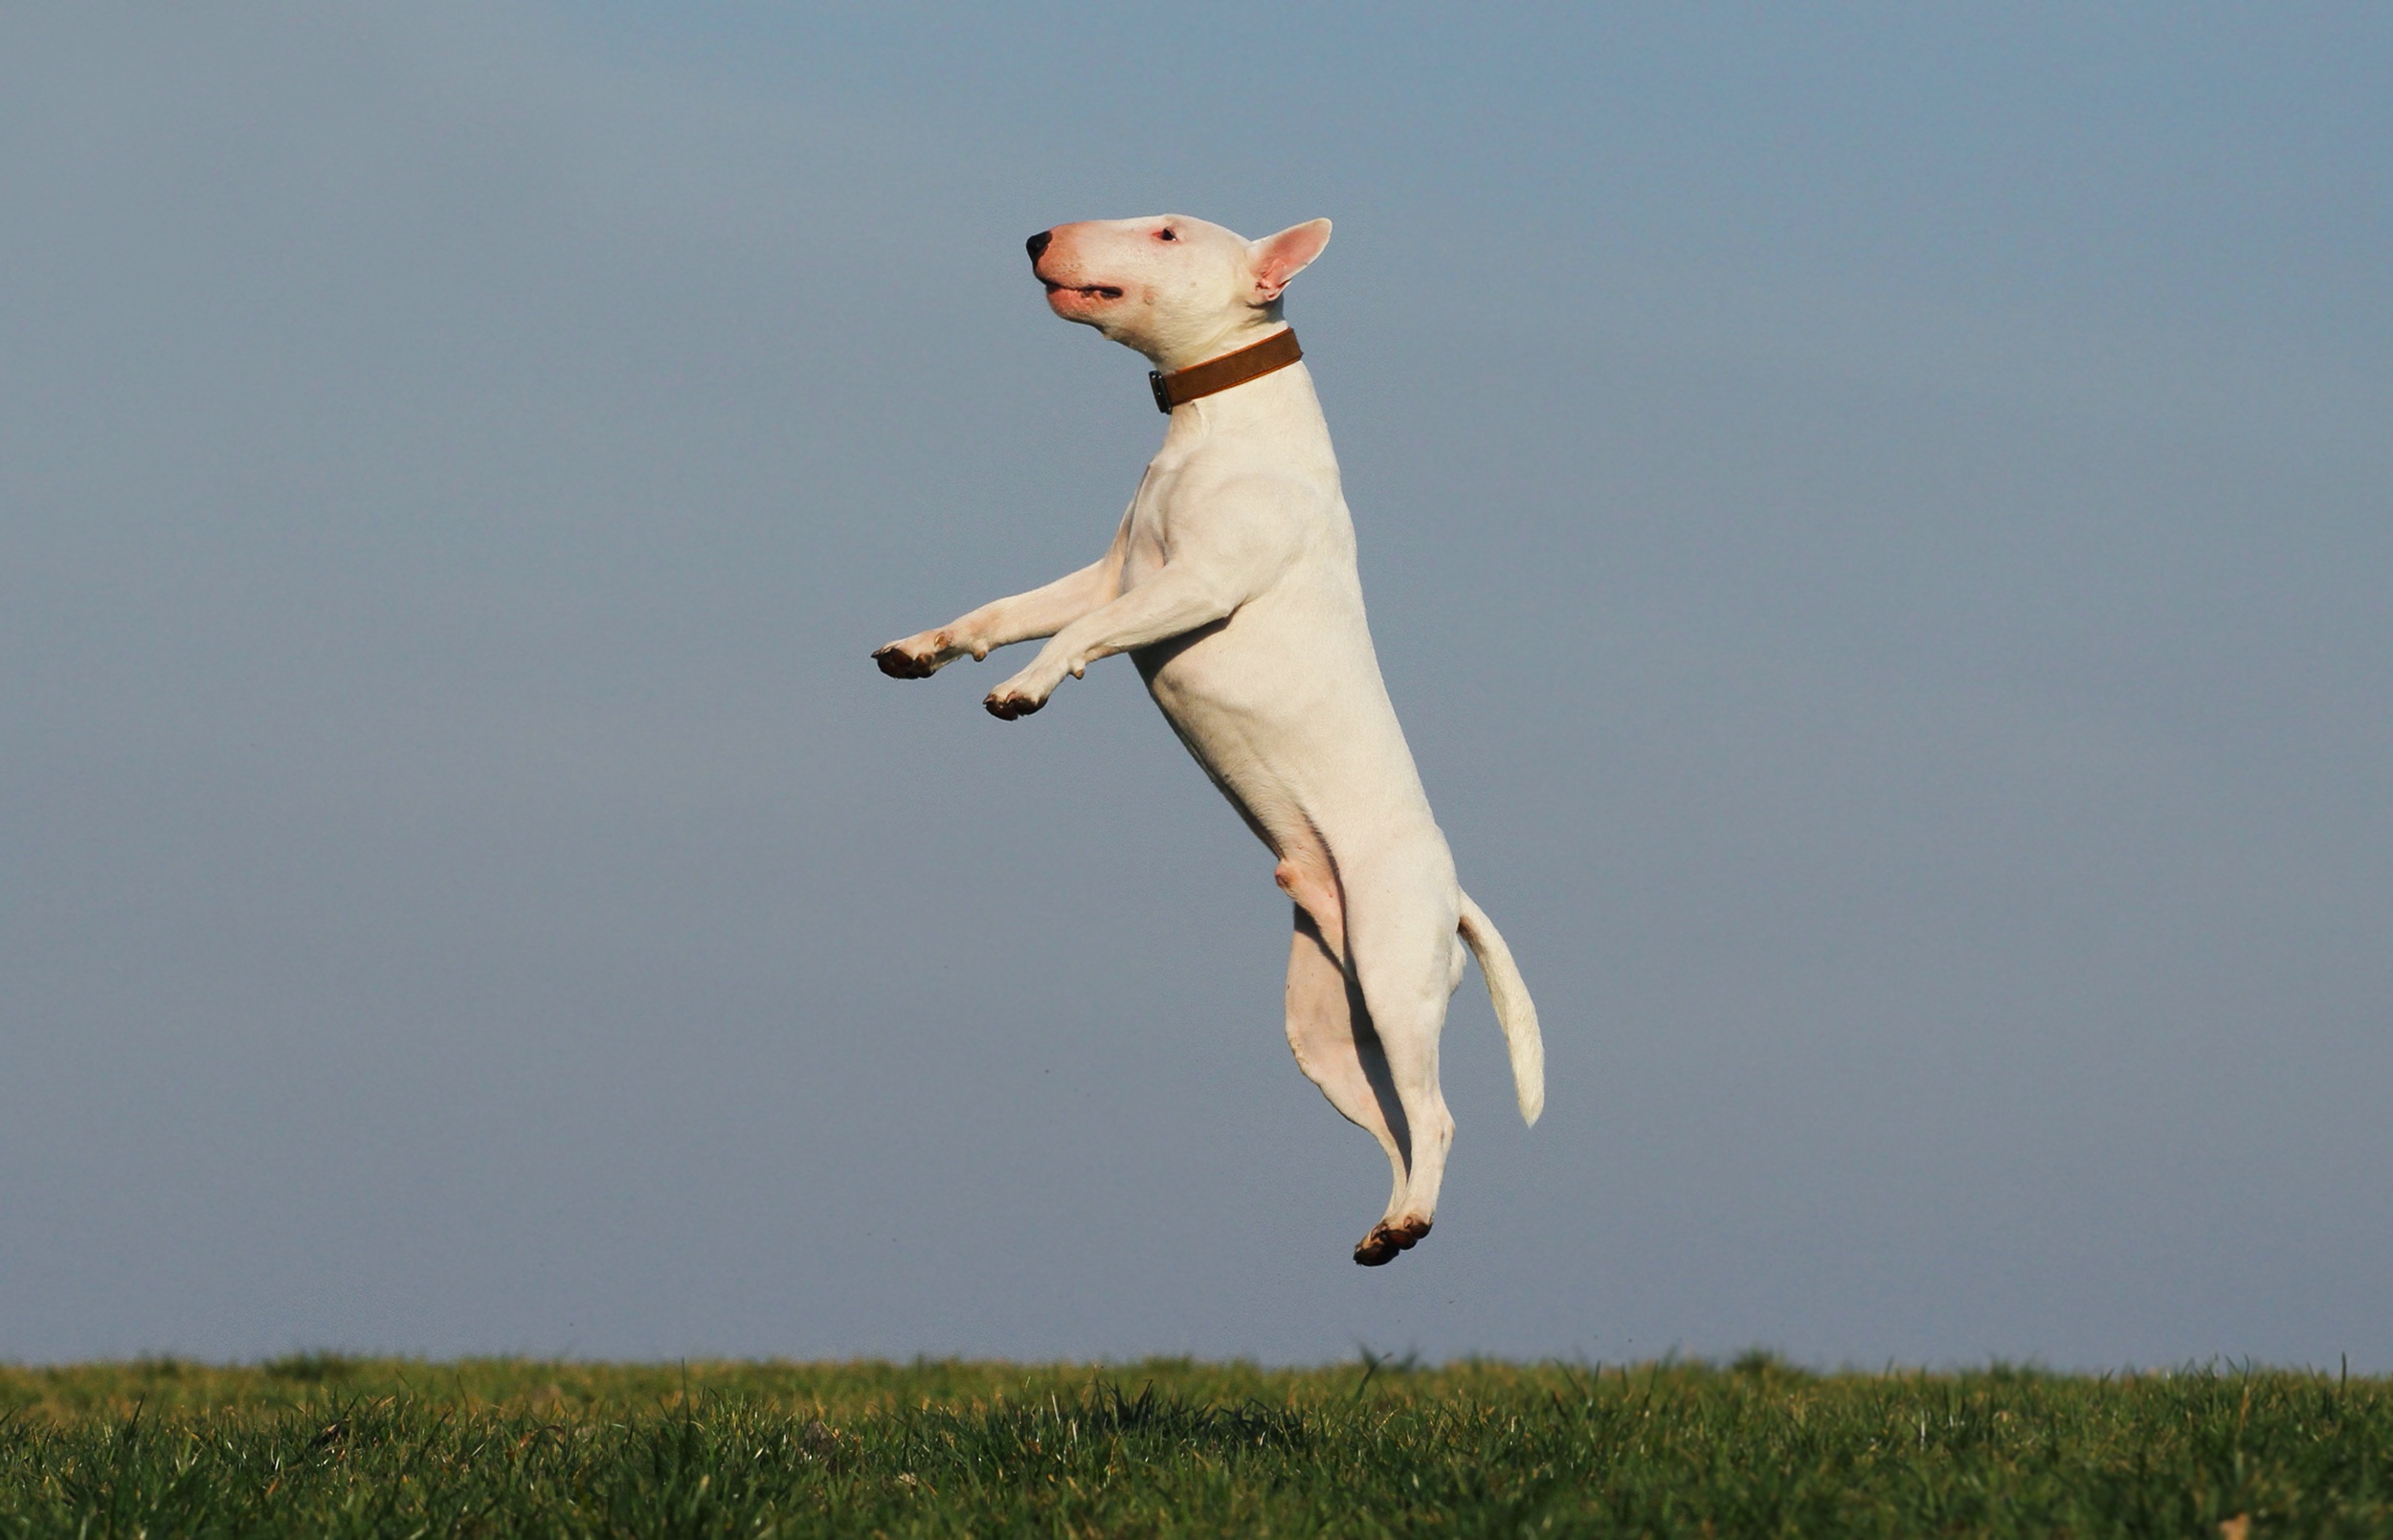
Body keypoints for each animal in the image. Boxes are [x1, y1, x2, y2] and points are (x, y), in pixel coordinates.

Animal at [871, 213, 1541, 1262]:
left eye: (1167, 230)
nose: (1038, 236)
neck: (1214, 425)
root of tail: (1456, 891)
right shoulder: (1112, 573)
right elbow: (1013, 610)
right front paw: (924, 648)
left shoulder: (1193, 585)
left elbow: (1076, 636)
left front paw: (1024, 688)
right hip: (1325, 1027)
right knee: (1392, 1123)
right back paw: (1385, 1227)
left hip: (1396, 972)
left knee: (1434, 1117)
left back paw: (1411, 1219)